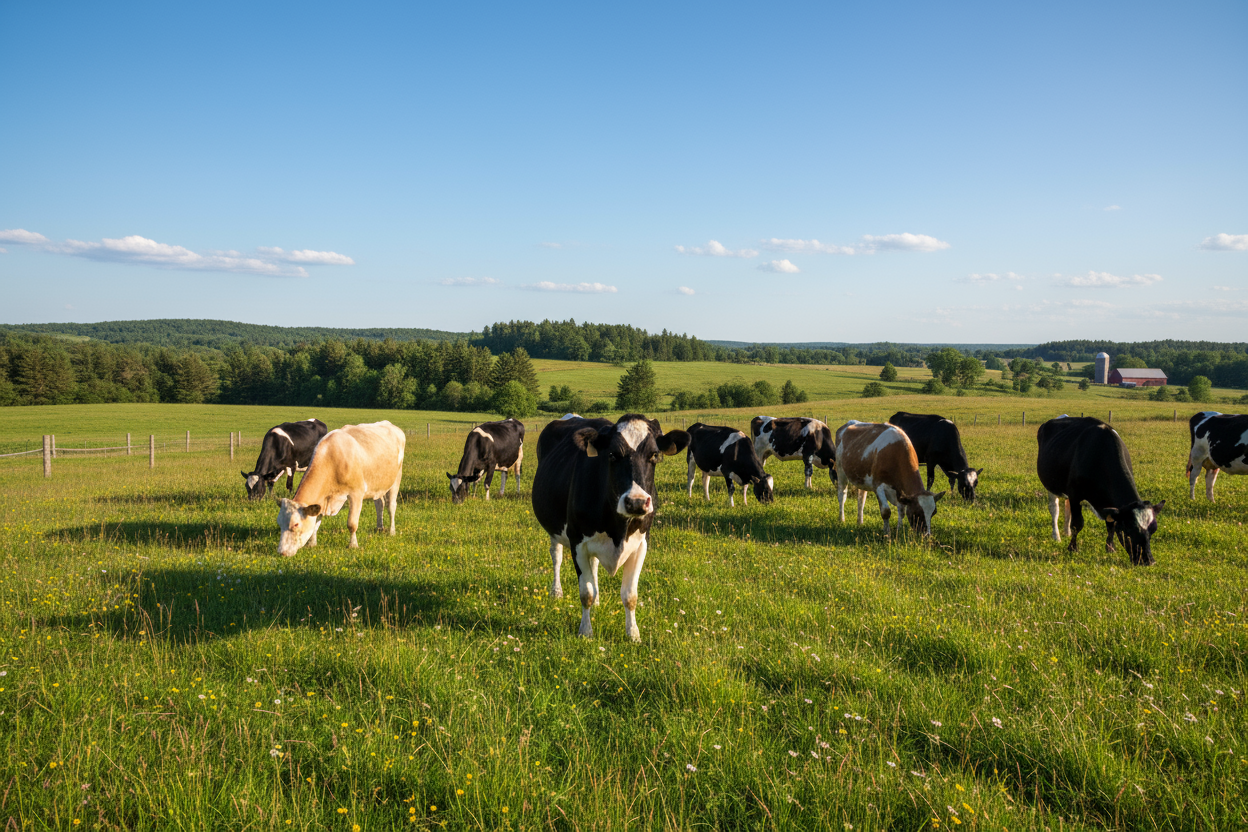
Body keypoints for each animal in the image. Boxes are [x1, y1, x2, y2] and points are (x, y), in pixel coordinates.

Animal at [276, 421, 406, 557]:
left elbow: (352, 523)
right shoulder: (323, 499)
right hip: (377, 484)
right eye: (279, 523)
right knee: (380, 504)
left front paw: (353, 545)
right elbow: (316, 522)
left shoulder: (356, 493)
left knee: (391, 506)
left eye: (295, 524)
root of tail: (391, 425)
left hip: (396, 478)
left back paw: (391, 531)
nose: (281, 552)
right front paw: (312, 543)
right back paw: (379, 527)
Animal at [531, 414, 689, 641]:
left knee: (594, 564)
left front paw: (633, 634)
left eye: (654, 455)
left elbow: (630, 595)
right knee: (556, 557)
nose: (636, 502)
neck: (618, 529)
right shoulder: (577, 542)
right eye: (612, 455)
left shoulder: (641, 543)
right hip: (555, 530)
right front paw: (585, 631)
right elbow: (585, 593)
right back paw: (556, 592)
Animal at [1036, 416, 1164, 566]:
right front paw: (1072, 548)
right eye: (1128, 531)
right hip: (1051, 485)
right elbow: (1077, 524)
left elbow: (1111, 525)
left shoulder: (1109, 503)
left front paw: (1110, 548)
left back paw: (1066, 532)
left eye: (1153, 531)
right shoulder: (1075, 494)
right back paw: (1056, 536)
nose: (1148, 561)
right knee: (1054, 509)